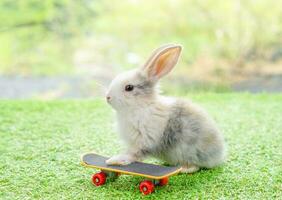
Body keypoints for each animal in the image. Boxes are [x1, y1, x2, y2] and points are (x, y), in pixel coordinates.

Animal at [104, 44, 226, 173]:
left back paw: (183, 169)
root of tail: (219, 155)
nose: (108, 97)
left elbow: (133, 154)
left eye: (129, 87)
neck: (141, 106)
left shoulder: (145, 141)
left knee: (195, 166)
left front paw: (114, 160)